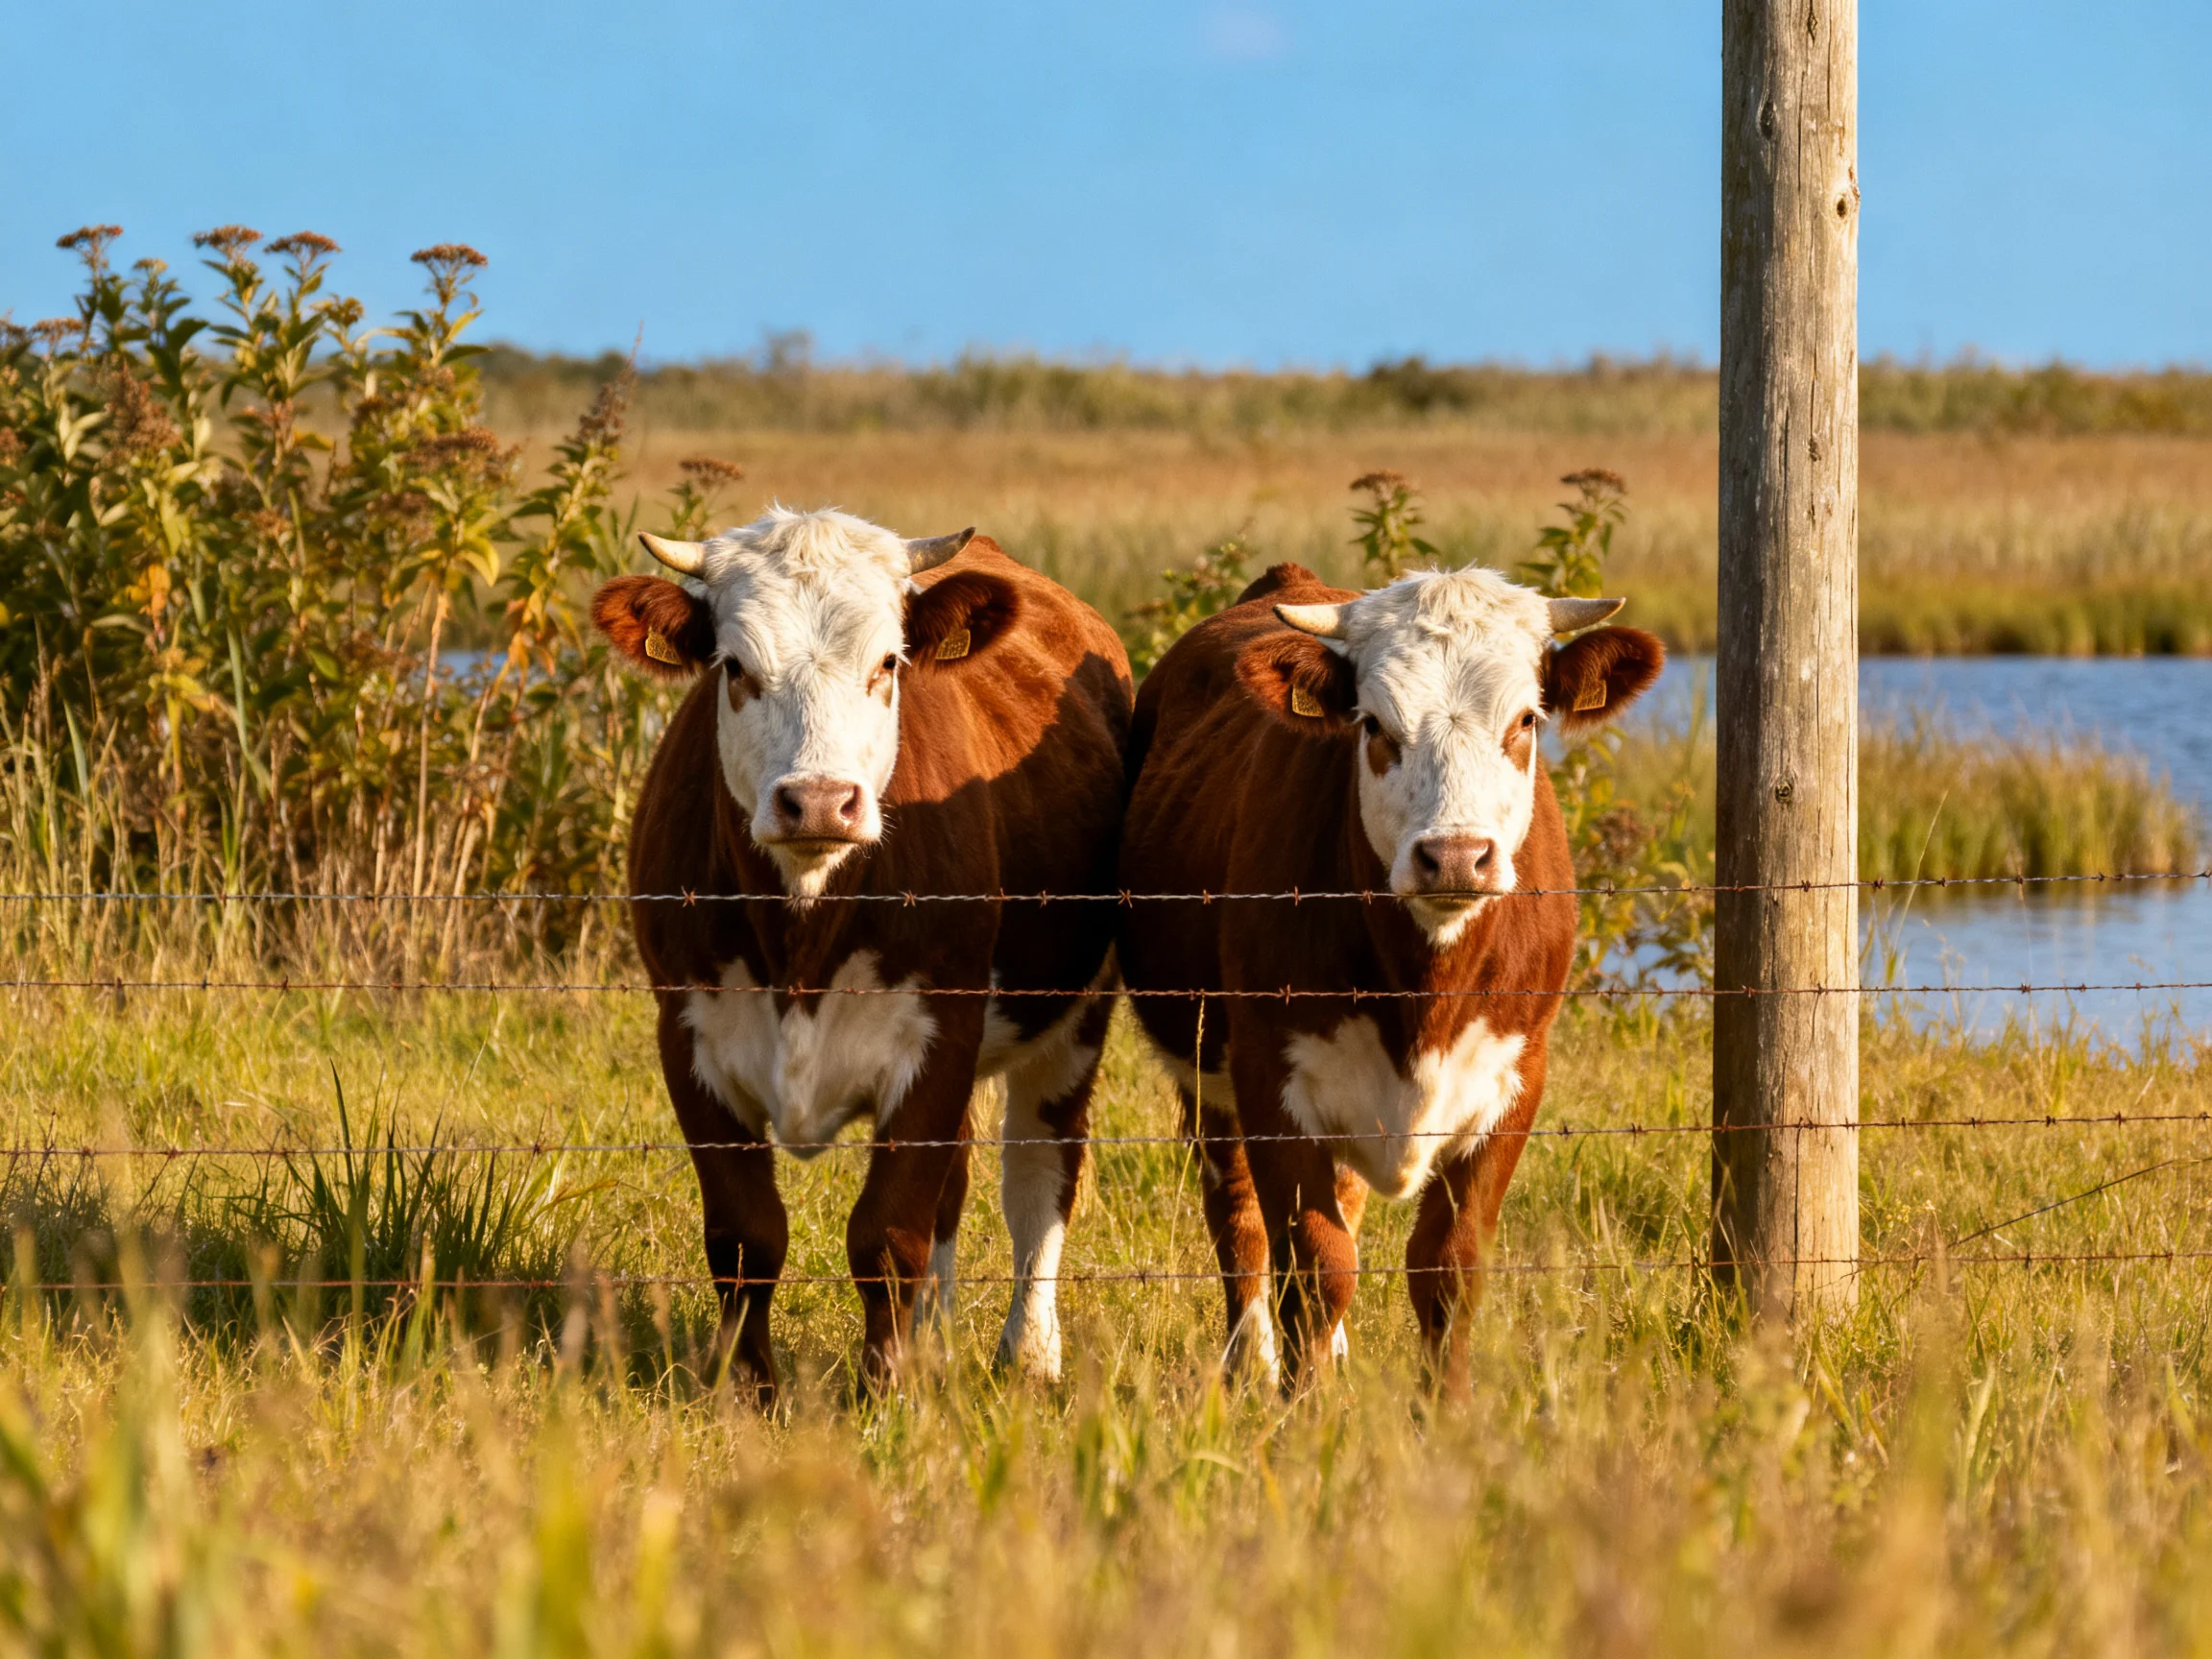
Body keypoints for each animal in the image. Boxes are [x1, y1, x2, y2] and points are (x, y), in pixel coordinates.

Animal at [591, 508, 1132, 1401]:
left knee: (1040, 1175)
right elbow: (746, 1236)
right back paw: (937, 1340)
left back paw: (1029, 1355)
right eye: (734, 667)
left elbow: (887, 1234)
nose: (817, 801)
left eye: (887, 663)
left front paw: (887, 1393)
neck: (802, 936)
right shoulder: (688, 1034)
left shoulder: (940, 1034)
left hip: (1073, 1023)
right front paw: (752, 1394)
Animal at [1116, 561, 1662, 1392]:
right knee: (1237, 1218)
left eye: (1525, 721)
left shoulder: (1515, 1081)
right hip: (1207, 1074)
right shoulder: (1269, 1078)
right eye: (1374, 726)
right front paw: (1302, 1409)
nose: (1456, 857)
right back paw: (1249, 1364)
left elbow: (1448, 1268)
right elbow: (1315, 1267)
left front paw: (1446, 1408)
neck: (1423, 993)